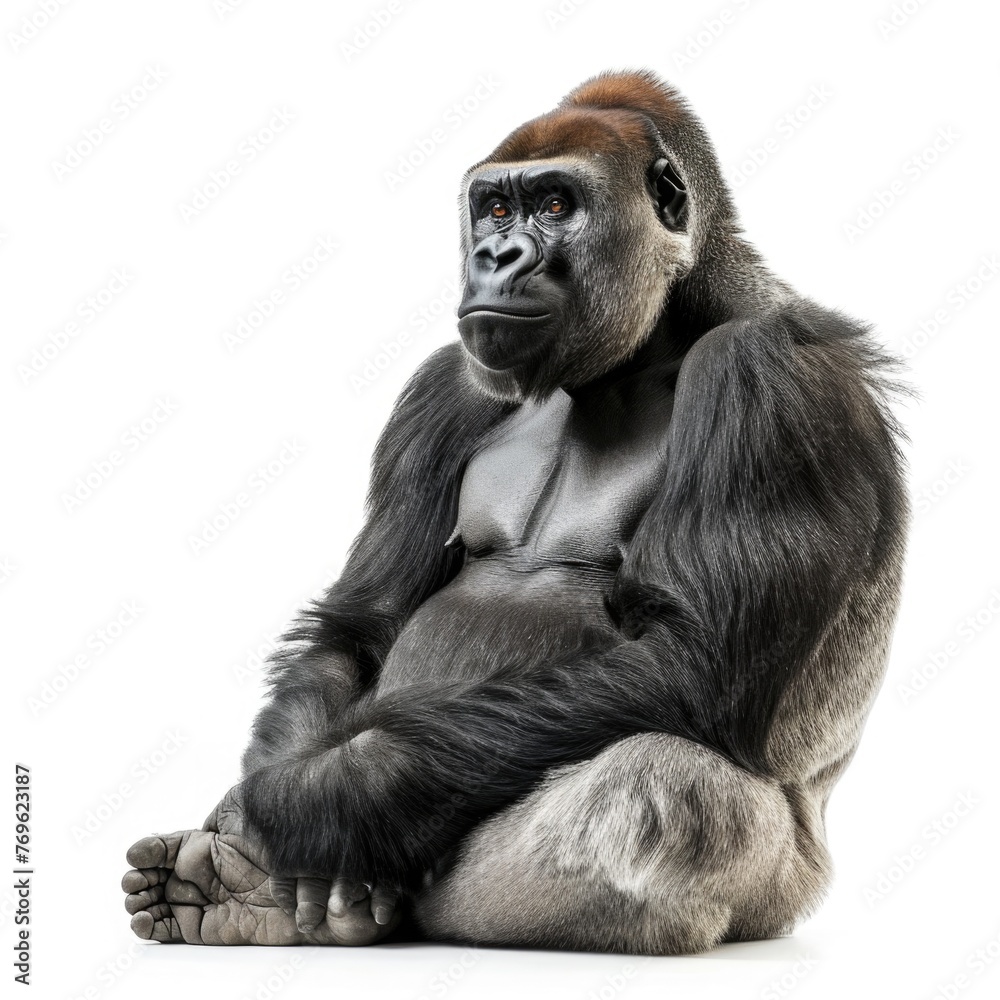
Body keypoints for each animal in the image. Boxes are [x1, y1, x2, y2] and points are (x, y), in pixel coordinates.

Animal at [122, 69, 908, 955]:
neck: (653, 342)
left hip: (784, 890)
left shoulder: (774, 378)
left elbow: (691, 658)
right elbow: (360, 625)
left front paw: (316, 800)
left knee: (663, 789)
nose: (495, 257)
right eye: (495, 209)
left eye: (556, 203)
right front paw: (269, 807)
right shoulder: (445, 384)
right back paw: (246, 894)